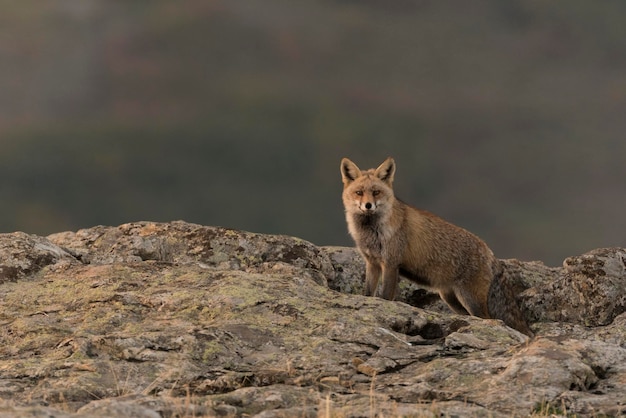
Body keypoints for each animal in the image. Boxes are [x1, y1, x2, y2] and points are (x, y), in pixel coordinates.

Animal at [338, 157, 528, 336]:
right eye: (359, 192)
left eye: (376, 192)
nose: (368, 205)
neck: (373, 232)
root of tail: (489, 251)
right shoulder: (373, 262)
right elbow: (368, 292)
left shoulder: (391, 264)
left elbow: (385, 296)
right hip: (451, 298)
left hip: (470, 299)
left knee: (489, 318)